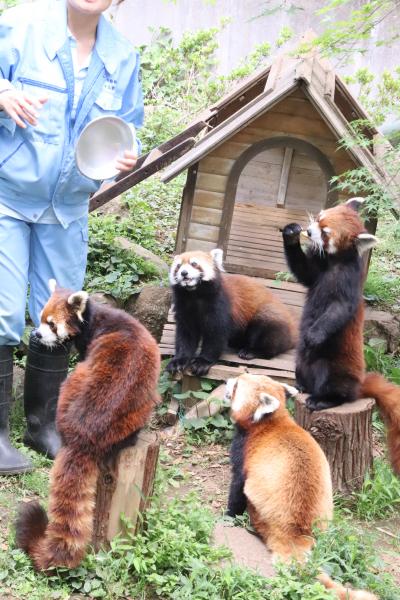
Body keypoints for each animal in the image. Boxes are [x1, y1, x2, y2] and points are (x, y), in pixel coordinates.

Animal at [166, 248, 296, 376]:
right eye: (178, 266)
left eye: (194, 263)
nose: (183, 273)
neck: (194, 295)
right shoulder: (184, 309)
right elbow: (185, 336)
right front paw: (179, 360)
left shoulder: (220, 305)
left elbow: (215, 336)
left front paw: (203, 362)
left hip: (269, 316)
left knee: (267, 337)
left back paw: (252, 351)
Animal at [228, 372, 378, 596]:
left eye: (237, 384)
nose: (227, 380)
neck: (268, 421)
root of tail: (297, 534)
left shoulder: (245, 450)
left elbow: (237, 486)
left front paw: (228, 515)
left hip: (263, 510)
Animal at [282, 199, 400, 476]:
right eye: (319, 218)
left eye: (326, 232)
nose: (309, 231)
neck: (333, 264)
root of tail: (359, 386)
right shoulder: (315, 272)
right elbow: (302, 271)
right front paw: (291, 234)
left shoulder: (348, 288)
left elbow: (336, 312)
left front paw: (313, 336)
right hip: (300, 362)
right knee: (302, 367)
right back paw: (302, 385)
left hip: (336, 367)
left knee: (336, 388)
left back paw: (323, 400)